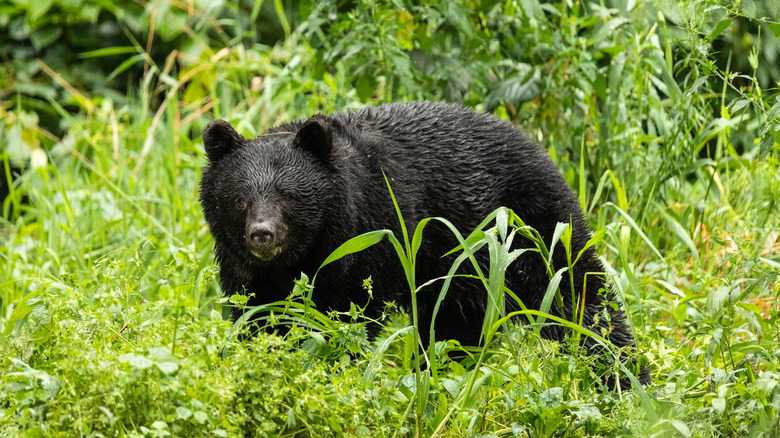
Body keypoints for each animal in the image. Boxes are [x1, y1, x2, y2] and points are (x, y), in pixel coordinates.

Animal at [199, 101, 650, 387]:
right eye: (239, 199)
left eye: (288, 196)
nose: (262, 234)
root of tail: (540, 148)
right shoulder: (247, 271)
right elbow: (256, 316)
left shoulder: (372, 238)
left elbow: (348, 316)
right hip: (463, 268)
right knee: (454, 325)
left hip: (532, 227)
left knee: (579, 295)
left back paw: (626, 379)